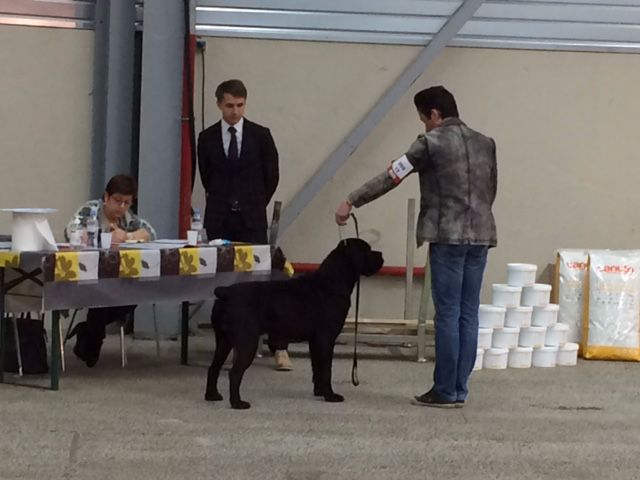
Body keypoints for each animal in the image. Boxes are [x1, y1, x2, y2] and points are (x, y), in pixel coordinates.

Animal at [208, 239, 382, 408]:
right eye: (367, 250)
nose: (380, 255)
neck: (332, 281)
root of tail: (226, 292)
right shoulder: (326, 340)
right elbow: (326, 371)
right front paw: (330, 396)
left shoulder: (315, 342)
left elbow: (317, 369)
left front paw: (319, 392)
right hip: (247, 342)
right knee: (234, 373)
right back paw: (237, 403)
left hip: (224, 341)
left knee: (213, 367)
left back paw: (212, 396)